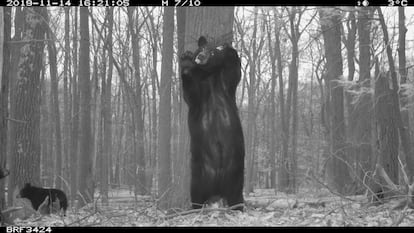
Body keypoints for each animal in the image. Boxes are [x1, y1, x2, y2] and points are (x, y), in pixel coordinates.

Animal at [180, 36, 244, 211]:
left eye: (211, 51)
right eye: (199, 50)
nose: (201, 57)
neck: (210, 78)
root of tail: (218, 190)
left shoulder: (227, 82)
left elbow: (235, 70)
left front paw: (227, 49)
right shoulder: (198, 97)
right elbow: (190, 93)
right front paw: (185, 60)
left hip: (236, 177)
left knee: (237, 197)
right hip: (198, 178)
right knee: (196, 196)